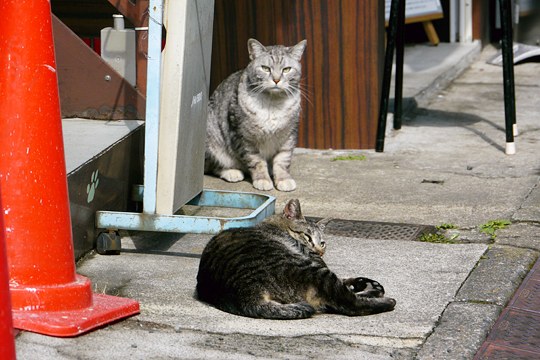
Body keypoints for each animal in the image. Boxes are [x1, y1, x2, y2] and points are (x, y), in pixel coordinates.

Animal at [196, 198, 394, 320]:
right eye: (307, 237)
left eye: (322, 243)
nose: (318, 251)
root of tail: (247, 296)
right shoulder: (315, 262)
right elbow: (344, 282)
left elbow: (346, 280)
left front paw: (361, 282)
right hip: (314, 273)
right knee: (348, 302)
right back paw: (385, 300)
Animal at [205, 37, 306, 191]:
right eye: (265, 68)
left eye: (287, 69)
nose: (276, 80)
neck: (273, 103)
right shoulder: (245, 138)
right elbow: (257, 161)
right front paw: (263, 179)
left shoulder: (288, 135)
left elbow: (283, 160)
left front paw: (283, 179)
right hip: (212, 139)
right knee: (213, 166)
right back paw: (231, 172)